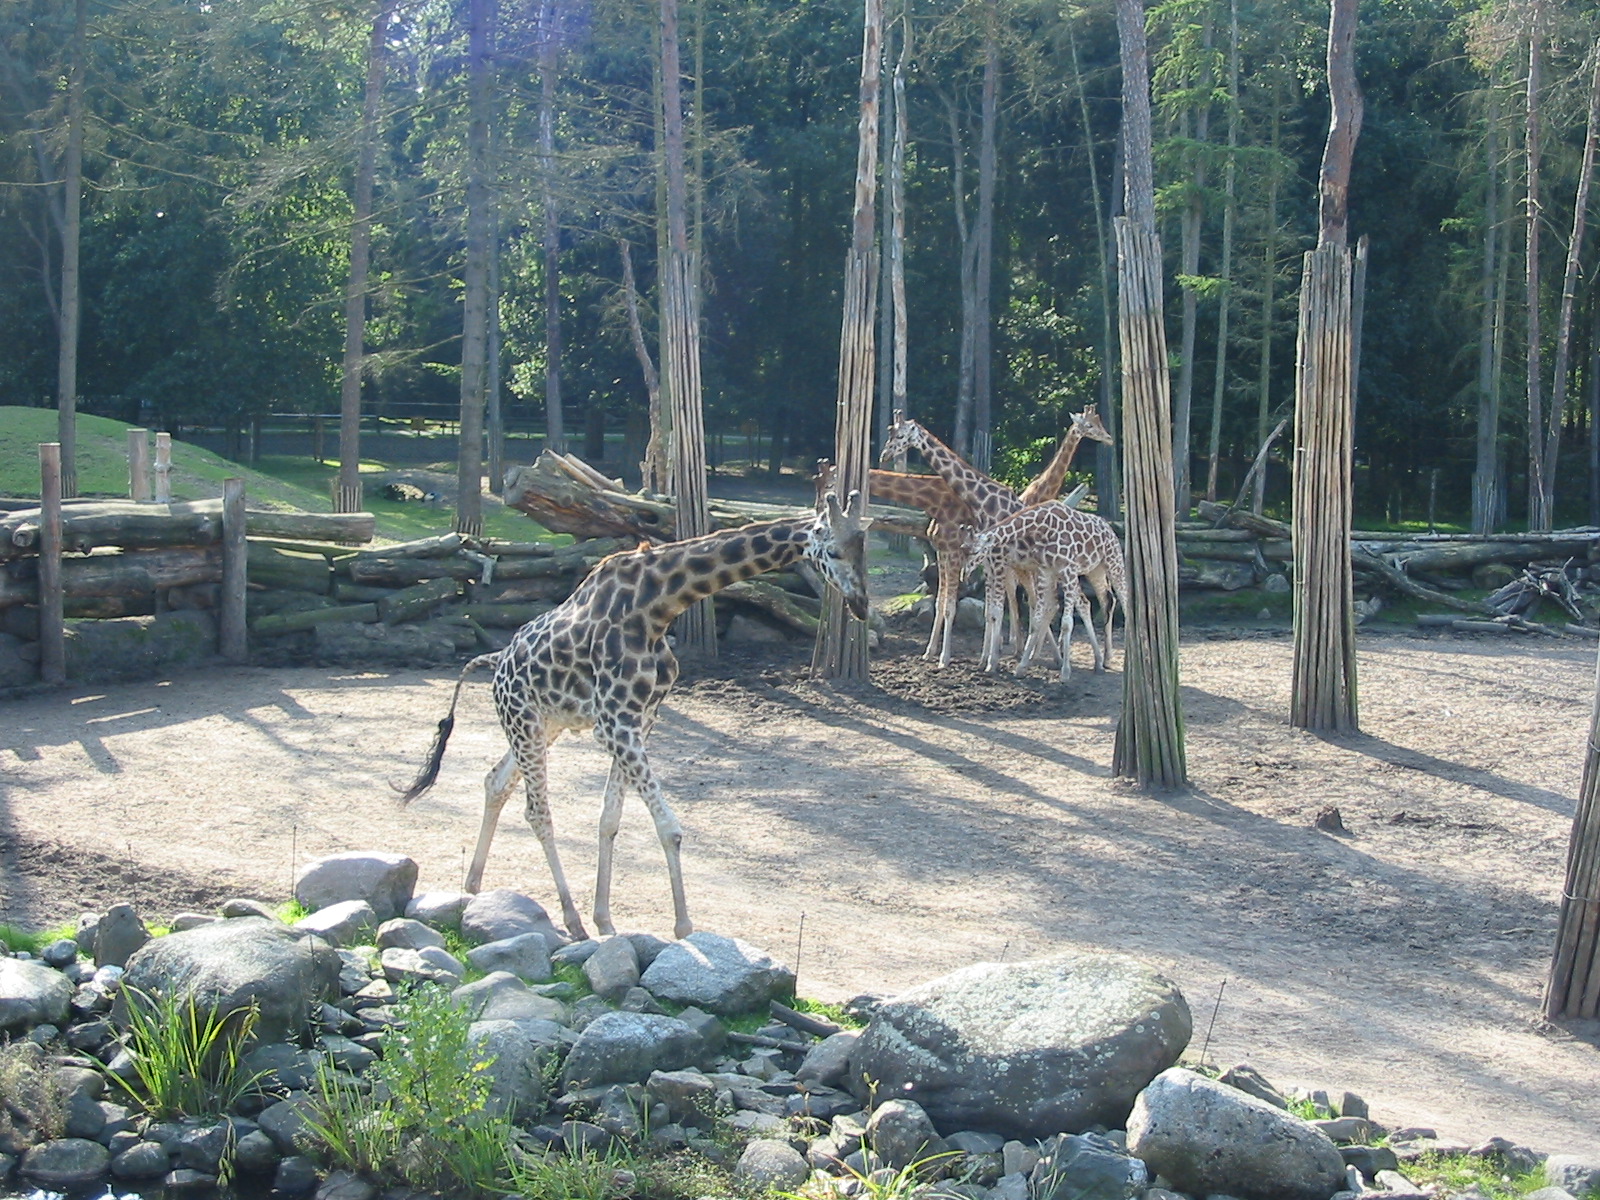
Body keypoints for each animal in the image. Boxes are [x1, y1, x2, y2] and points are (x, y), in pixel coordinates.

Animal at [396, 493, 873, 942]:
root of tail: (495, 660)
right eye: (833, 551)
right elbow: (669, 828)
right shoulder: (615, 723)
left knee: (496, 782)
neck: (657, 608)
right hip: (524, 723)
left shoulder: (640, 720)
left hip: (543, 725)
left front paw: (606, 920)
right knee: (537, 811)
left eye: (862, 548)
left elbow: (610, 820)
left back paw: (474, 887)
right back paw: (570, 920)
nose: (862, 605)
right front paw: (682, 926)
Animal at [968, 500, 1128, 681]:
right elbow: (1036, 621)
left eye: (976, 551)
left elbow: (1066, 623)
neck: (1043, 526)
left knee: (1123, 600)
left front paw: (1065, 672)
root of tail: (1110, 528)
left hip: (1113, 562)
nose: (965, 572)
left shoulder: (1067, 570)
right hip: (1095, 570)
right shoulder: (1046, 572)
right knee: (1104, 600)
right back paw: (1101, 661)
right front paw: (1021, 667)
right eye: (964, 548)